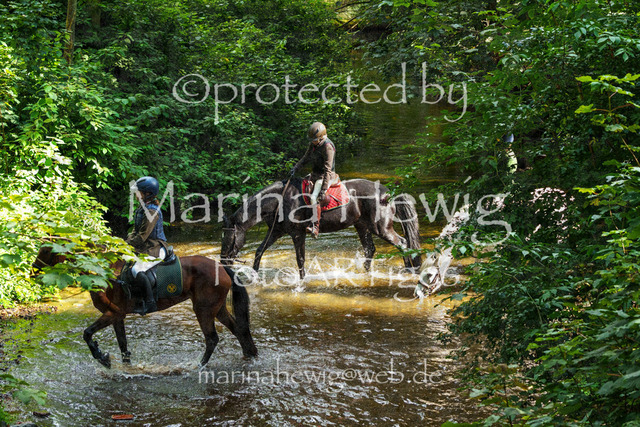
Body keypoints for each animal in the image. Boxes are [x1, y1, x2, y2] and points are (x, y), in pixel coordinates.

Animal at [32, 245, 258, 369]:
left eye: (46, 251)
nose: (33, 270)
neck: (101, 273)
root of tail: (223, 268)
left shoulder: (112, 312)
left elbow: (87, 333)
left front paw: (102, 358)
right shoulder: (117, 316)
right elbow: (123, 345)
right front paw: (124, 368)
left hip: (203, 310)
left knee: (212, 339)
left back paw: (197, 366)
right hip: (217, 309)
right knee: (238, 329)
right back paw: (249, 355)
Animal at [221, 177, 422, 279]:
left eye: (228, 237)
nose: (223, 262)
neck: (279, 201)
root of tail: (389, 193)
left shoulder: (297, 234)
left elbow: (300, 259)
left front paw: (302, 281)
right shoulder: (277, 232)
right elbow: (259, 251)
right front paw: (254, 276)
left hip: (380, 228)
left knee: (402, 243)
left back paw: (409, 271)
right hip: (362, 226)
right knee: (370, 249)